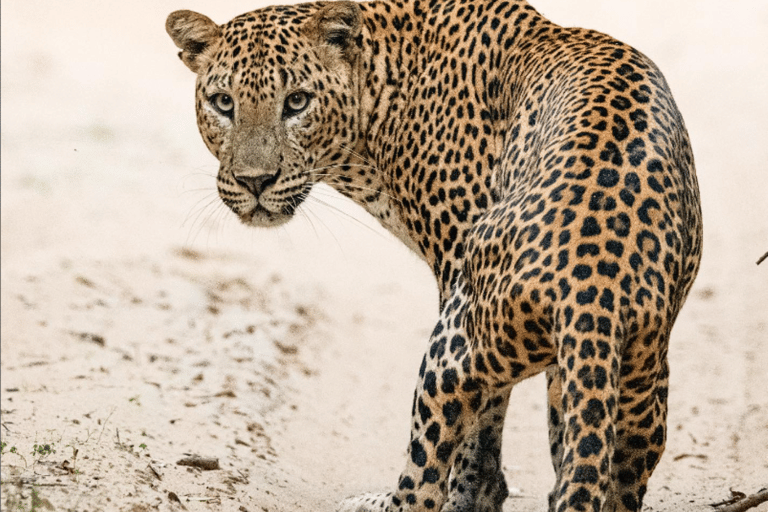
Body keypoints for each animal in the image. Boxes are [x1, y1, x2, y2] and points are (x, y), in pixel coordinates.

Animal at [166, 2, 704, 510]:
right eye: (223, 103)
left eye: (297, 101)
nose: (255, 182)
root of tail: (594, 285)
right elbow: (564, 436)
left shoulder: (453, 263)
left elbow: (482, 433)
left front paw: (470, 495)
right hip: (643, 380)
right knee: (614, 474)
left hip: (450, 350)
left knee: (422, 479)